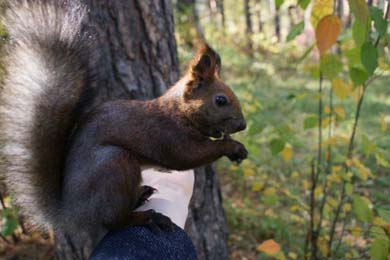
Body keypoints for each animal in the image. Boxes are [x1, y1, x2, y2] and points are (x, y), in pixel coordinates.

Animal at [0, 0, 248, 243]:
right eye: (220, 100)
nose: (243, 126)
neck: (178, 112)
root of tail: (73, 213)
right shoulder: (168, 135)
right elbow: (188, 156)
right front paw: (232, 147)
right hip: (116, 166)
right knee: (113, 222)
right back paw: (145, 217)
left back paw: (140, 197)